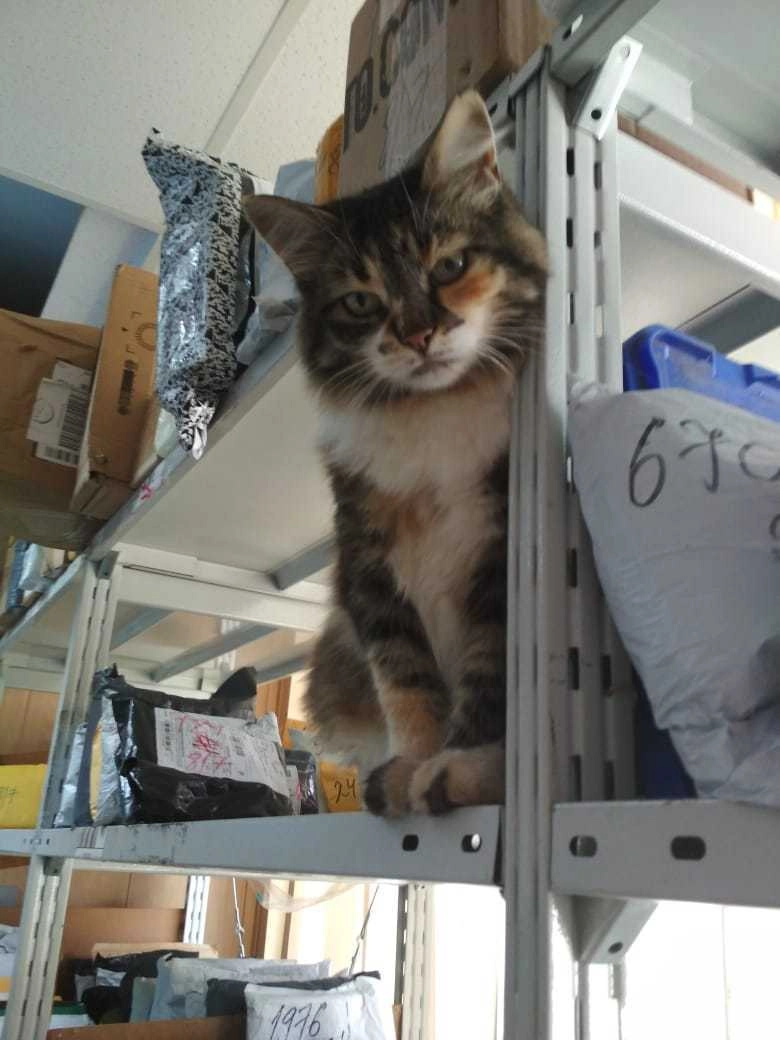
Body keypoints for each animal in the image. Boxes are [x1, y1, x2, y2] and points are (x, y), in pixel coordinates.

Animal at [244, 90, 547, 817]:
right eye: (361, 301)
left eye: (450, 267)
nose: (417, 335)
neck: (429, 415)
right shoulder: (369, 571)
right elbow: (408, 685)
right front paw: (408, 770)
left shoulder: (497, 560)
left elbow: (483, 682)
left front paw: (461, 770)